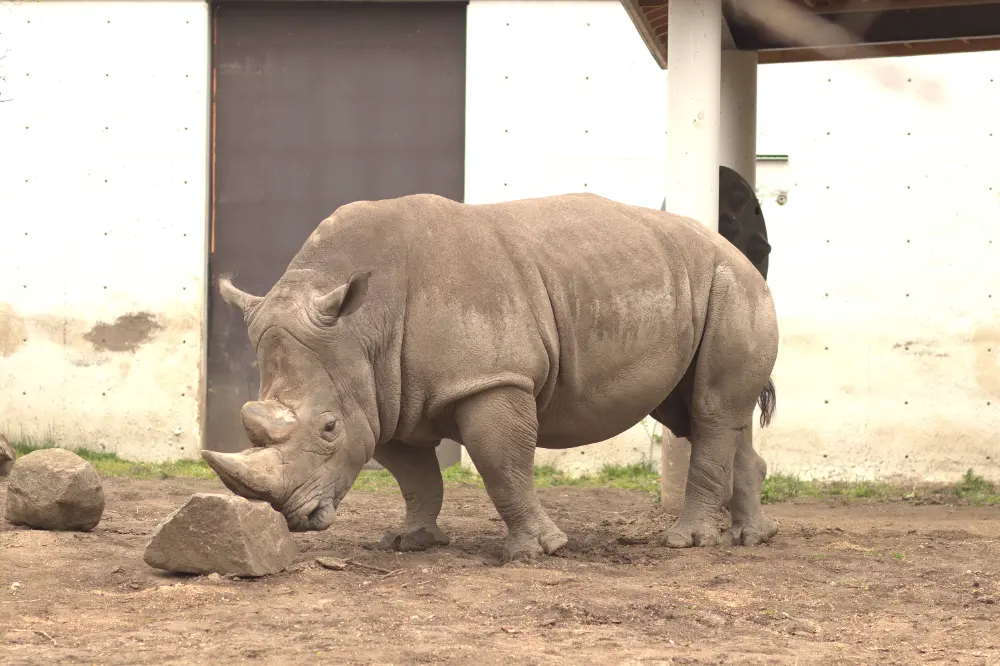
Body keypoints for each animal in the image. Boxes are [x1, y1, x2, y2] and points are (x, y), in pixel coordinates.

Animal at [203, 192, 779, 562]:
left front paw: (539, 552)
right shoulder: (381, 397)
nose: (294, 516)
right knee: (698, 414)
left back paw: (689, 543)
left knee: (709, 411)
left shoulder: (490, 378)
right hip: (689, 284)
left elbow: (503, 465)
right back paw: (751, 538)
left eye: (328, 428)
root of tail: (737, 252)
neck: (362, 328)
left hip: (732, 285)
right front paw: (410, 542)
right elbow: (415, 475)